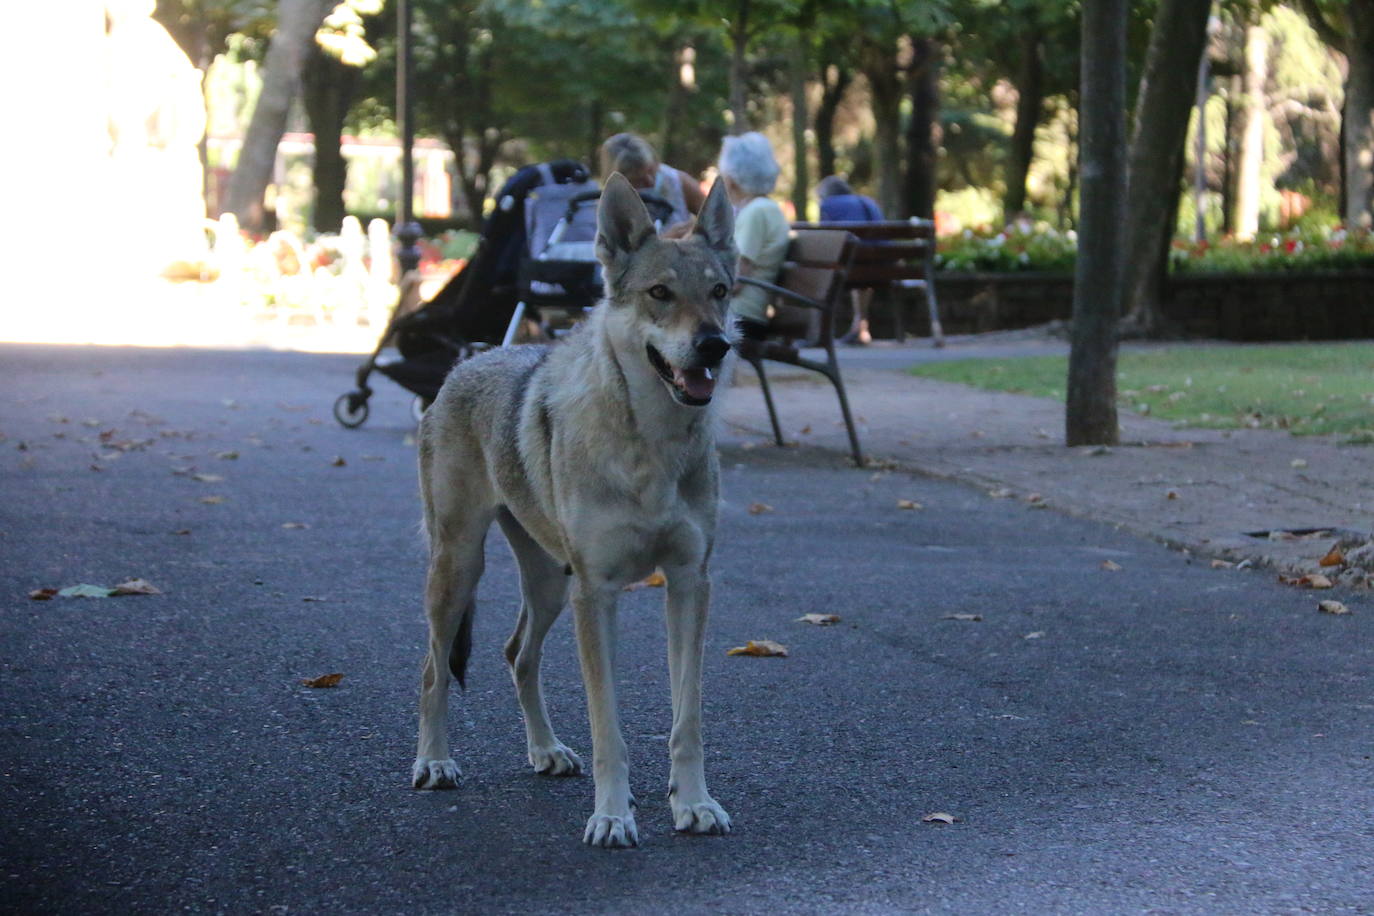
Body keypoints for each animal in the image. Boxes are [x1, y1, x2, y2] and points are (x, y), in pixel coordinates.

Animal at [409, 170, 741, 845]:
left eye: (719, 292)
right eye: (660, 293)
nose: (714, 346)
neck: (652, 446)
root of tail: (471, 358)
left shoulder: (689, 582)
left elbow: (687, 720)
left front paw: (693, 804)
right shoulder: (599, 593)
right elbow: (606, 725)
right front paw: (612, 817)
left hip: (549, 583)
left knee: (517, 655)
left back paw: (546, 751)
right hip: (461, 570)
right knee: (434, 672)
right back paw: (434, 762)